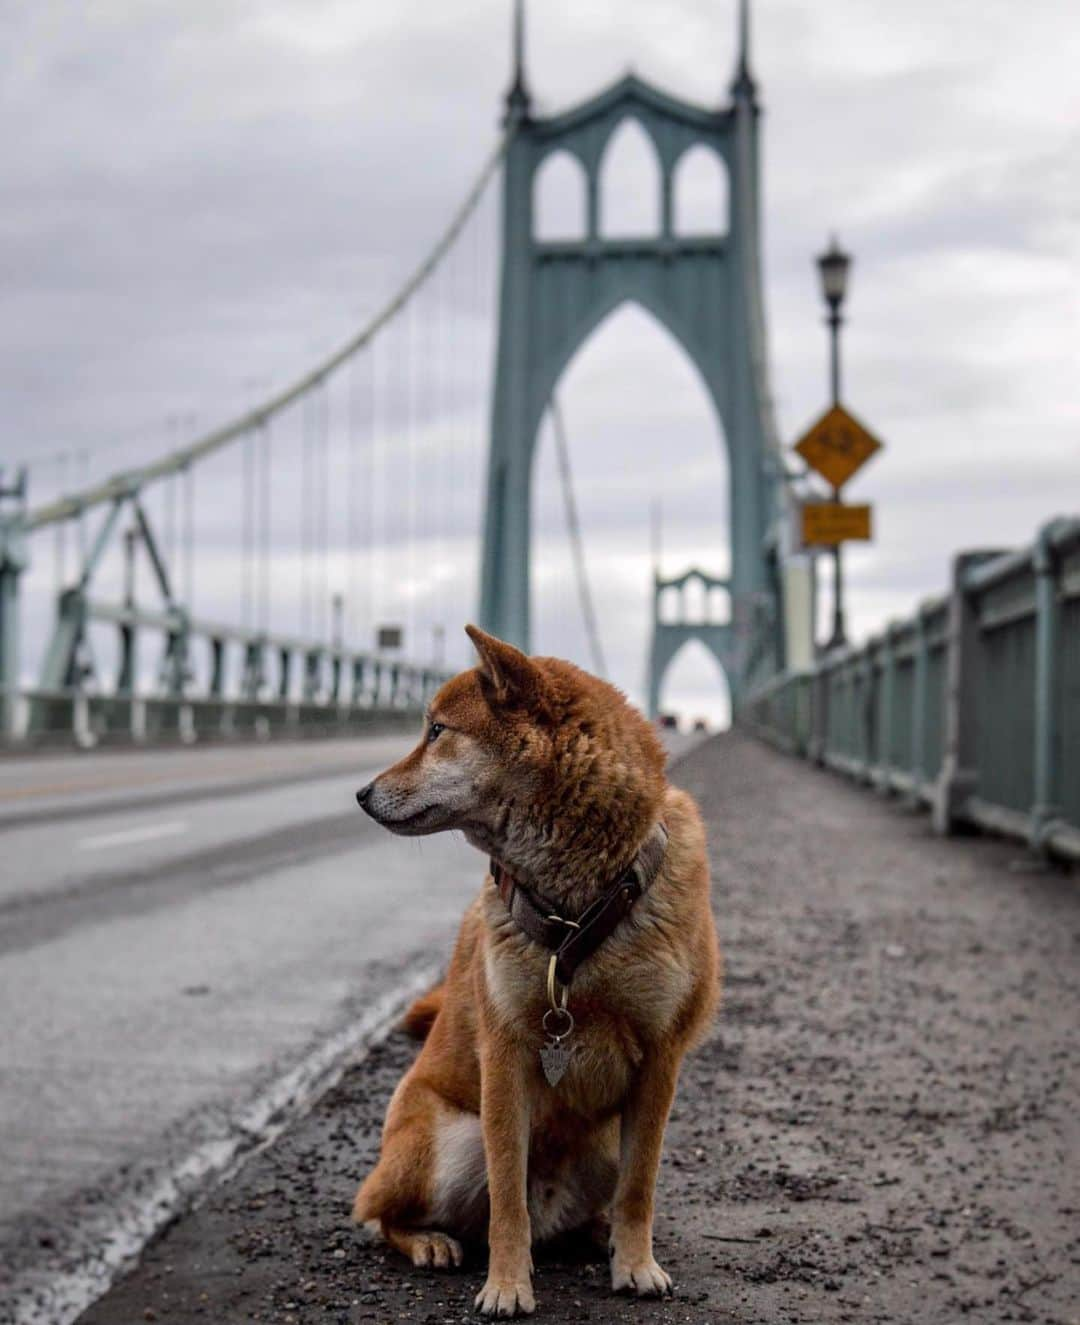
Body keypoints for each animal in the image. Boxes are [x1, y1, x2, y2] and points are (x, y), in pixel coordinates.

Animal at [355, 628, 720, 1314]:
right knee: (379, 1214)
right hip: (452, 1145)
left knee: (598, 1202)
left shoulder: (661, 1059)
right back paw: (431, 1242)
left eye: (437, 730)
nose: (361, 794)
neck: (576, 914)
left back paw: (601, 1232)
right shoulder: (505, 1054)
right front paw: (506, 1285)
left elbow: (641, 1187)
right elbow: (507, 1199)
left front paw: (636, 1265)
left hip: (603, 1143)